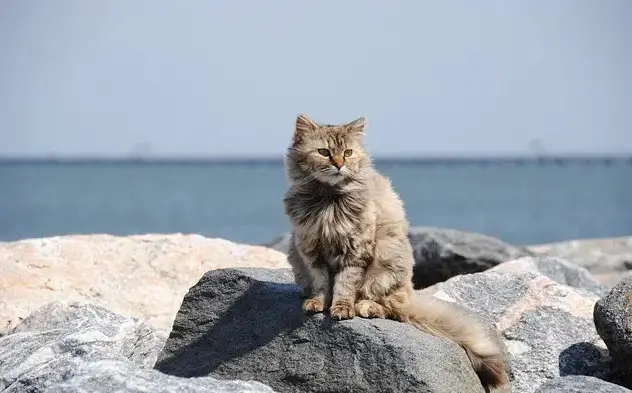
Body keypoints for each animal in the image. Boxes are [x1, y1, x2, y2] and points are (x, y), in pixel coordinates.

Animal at [284, 113, 512, 388]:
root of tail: (410, 294)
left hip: (387, 262)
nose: (339, 164)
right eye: (324, 152)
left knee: (392, 309)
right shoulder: (310, 250)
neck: (328, 202)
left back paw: (366, 307)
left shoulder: (355, 251)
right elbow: (320, 283)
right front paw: (317, 303)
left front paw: (341, 308)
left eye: (348, 153)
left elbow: (344, 286)